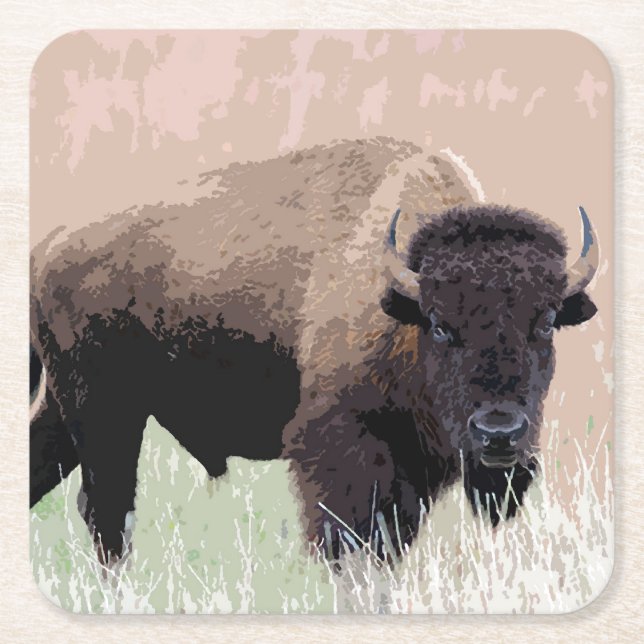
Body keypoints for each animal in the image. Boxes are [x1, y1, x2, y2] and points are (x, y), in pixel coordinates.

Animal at [30, 137, 598, 563]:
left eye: (547, 322)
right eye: (439, 326)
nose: (499, 432)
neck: (399, 300)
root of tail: (49, 245)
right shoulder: (344, 454)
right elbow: (348, 541)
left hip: (69, 408)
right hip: (104, 415)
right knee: (107, 513)